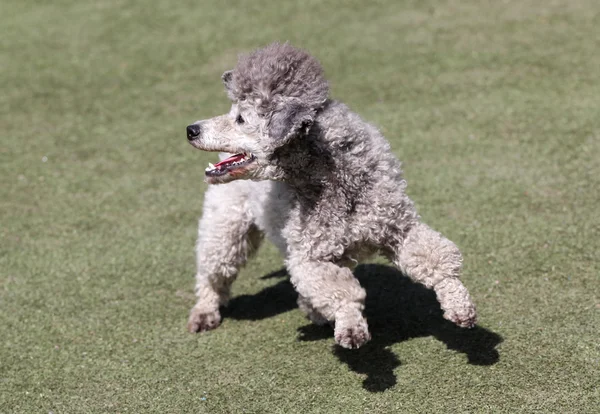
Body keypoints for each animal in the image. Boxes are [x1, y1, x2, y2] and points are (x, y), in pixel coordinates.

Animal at [185, 42, 476, 348]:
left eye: (240, 118)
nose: (191, 129)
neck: (335, 179)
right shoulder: (312, 256)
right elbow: (340, 290)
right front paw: (351, 326)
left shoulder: (398, 227)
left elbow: (437, 257)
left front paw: (459, 304)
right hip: (226, 227)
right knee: (211, 273)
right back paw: (204, 312)